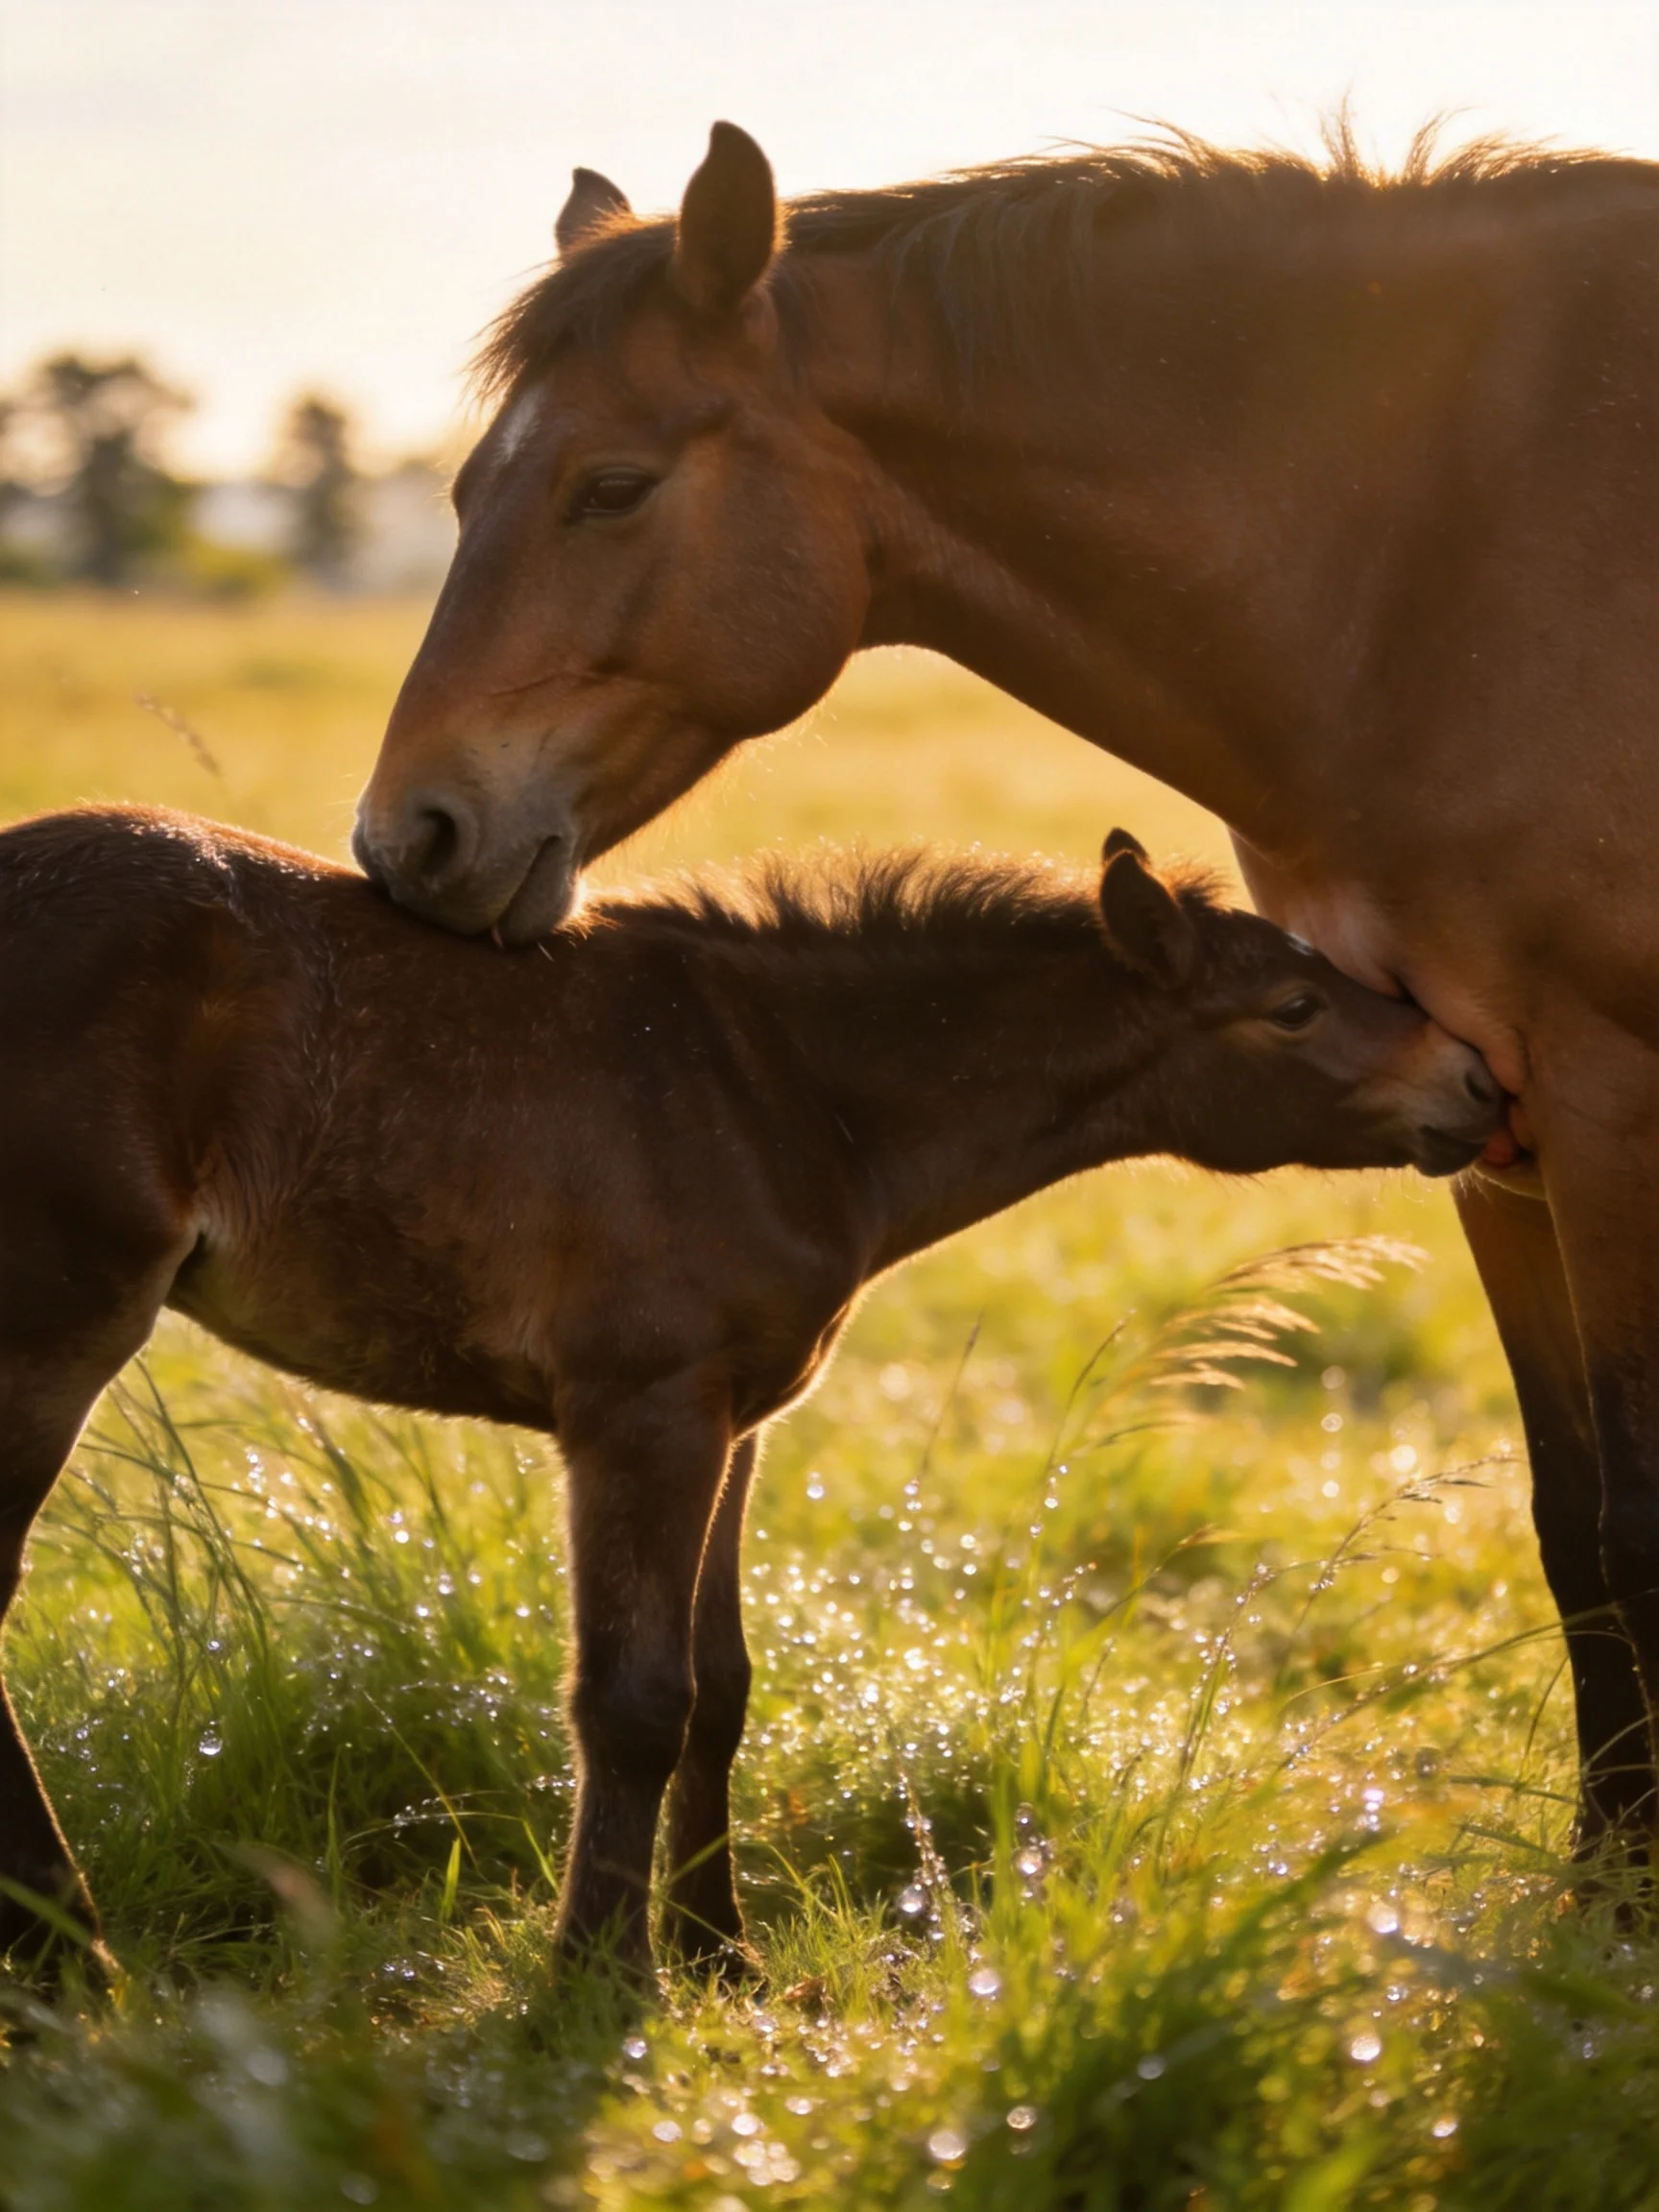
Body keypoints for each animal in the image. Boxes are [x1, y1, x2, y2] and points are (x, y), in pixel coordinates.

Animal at [0, 805, 1499, 1972]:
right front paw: (599, 1977)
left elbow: (717, 1687)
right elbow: (632, 1700)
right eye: (1294, 1008)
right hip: (55, 1326)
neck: (788, 1092)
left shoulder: (737, 1424)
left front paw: (719, 1952)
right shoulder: (642, 1415)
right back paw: (76, 1953)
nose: (1480, 1084)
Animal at [352, 122, 1659, 1860]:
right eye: (459, 490)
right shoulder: (1489, 1117)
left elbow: (1639, 1529)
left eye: (611, 487)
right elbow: (1578, 1525)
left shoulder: (1601, 1097)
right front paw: (1605, 1873)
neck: (1435, 573)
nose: (408, 838)